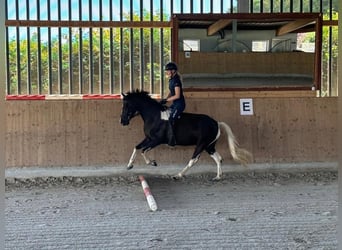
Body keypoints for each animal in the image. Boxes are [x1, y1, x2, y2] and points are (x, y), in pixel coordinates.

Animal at [119, 89, 251, 180]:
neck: (154, 116)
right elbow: (137, 147)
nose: (123, 121)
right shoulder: (148, 138)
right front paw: (129, 165)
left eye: (126, 105)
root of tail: (216, 123)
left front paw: (152, 163)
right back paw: (218, 177)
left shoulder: (156, 140)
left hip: (201, 144)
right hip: (209, 146)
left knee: (193, 160)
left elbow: (143, 151)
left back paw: (178, 175)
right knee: (218, 159)